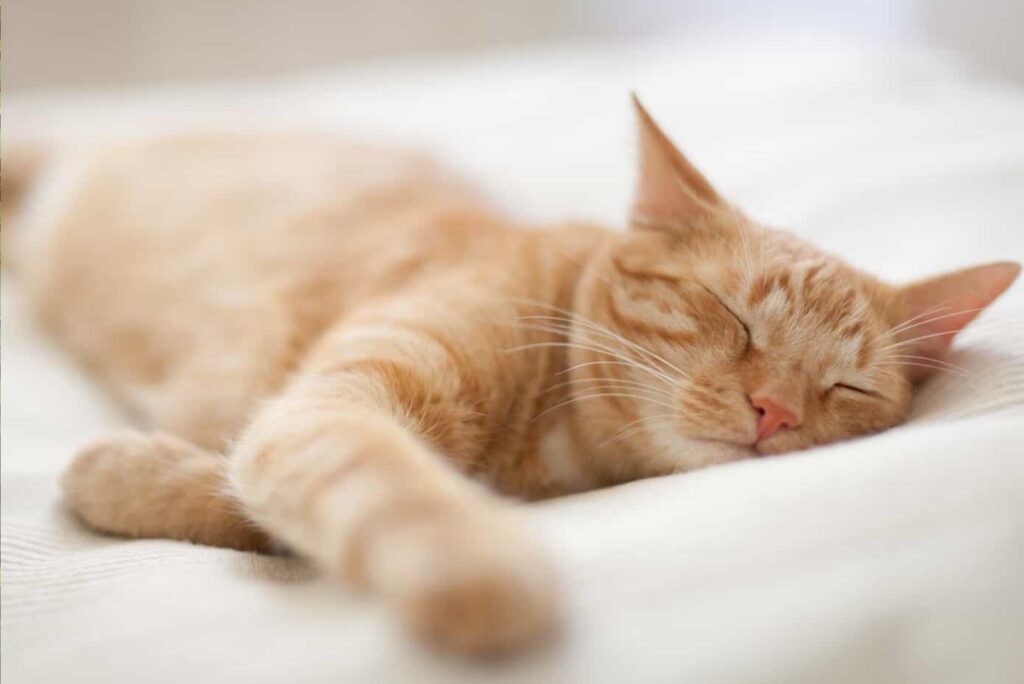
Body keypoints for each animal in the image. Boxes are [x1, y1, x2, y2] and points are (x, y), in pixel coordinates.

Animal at [4, 94, 1019, 651]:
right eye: (734, 317)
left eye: (847, 389)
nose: (775, 412)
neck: (554, 448)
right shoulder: (327, 407)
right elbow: (381, 478)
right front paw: (473, 566)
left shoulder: (292, 422)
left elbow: (247, 497)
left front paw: (121, 472)